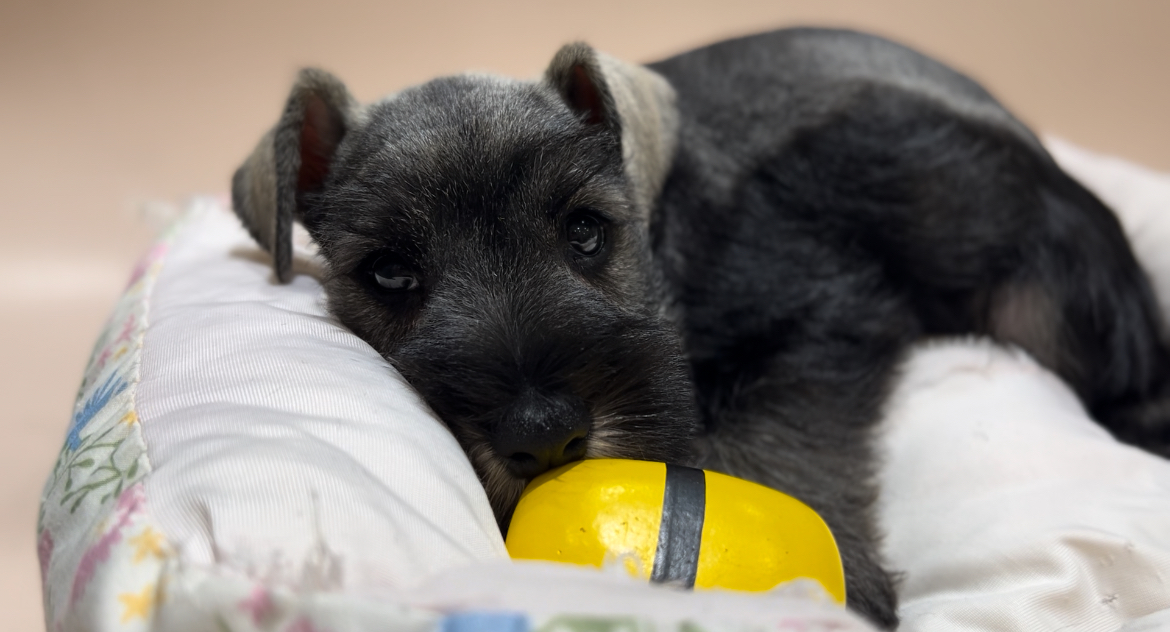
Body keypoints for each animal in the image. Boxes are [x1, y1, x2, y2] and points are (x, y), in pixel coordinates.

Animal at [230, 28, 1170, 627]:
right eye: (389, 273)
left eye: (586, 230)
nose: (543, 431)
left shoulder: (819, 321)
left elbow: (782, 444)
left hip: (1047, 296)